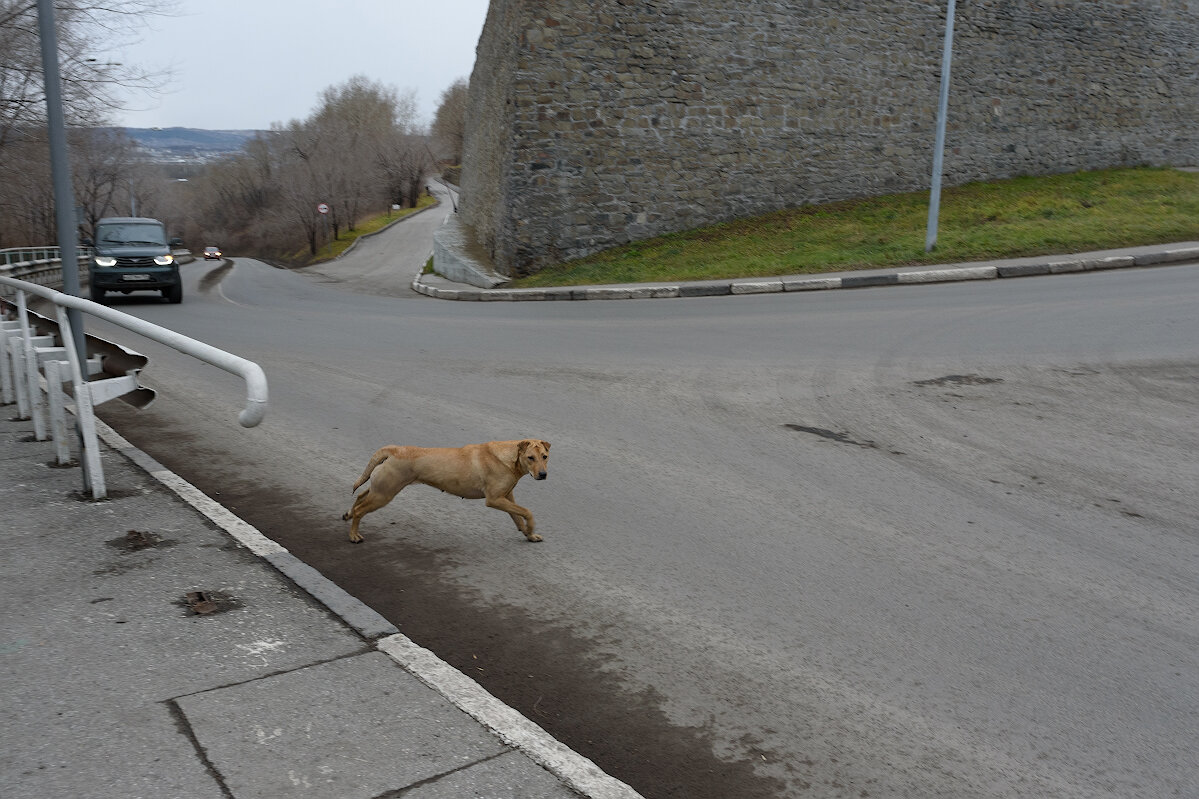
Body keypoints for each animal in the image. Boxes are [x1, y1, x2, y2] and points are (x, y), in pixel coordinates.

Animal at [342, 436, 551, 542]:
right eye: (531, 458)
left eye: (545, 456)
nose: (543, 475)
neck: (511, 458)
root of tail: (393, 449)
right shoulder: (494, 499)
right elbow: (527, 512)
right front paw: (531, 528)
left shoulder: (507, 496)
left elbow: (517, 516)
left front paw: (529, 534)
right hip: (384, 493)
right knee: (360, 509)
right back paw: (353, 534)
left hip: (381, 489)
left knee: (360, 496)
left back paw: (348, 514)